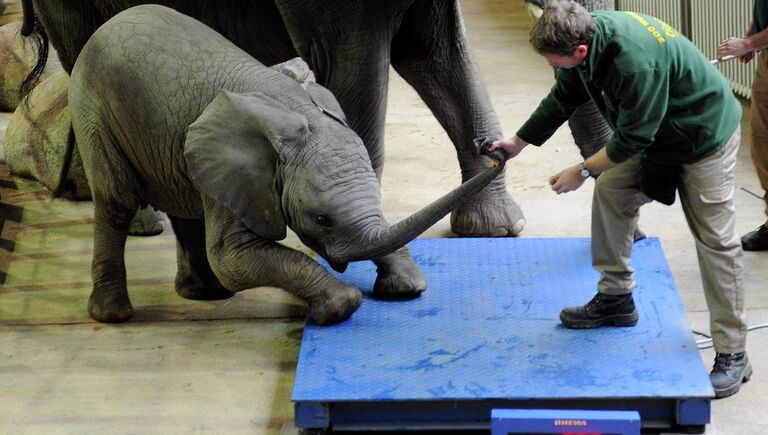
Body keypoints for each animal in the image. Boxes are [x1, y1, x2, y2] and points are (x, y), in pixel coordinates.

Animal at [69, 3, 500, 324]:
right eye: (322, 219)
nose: (490, 147)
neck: (291, 109)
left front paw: (408, 287)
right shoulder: (238, 172)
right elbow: (233, 258)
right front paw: (342, 305)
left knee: (182, 202)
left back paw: (205, 295)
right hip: (94, 110)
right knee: (118, 200)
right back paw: (115, 315)